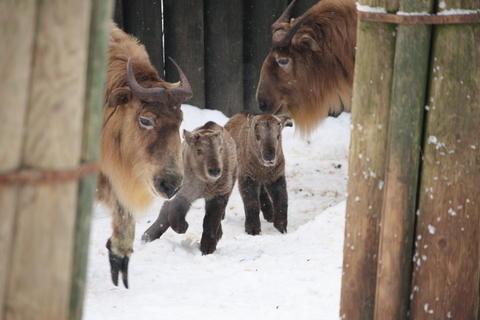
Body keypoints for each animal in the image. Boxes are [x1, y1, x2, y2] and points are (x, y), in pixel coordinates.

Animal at [142, 120, 237, 255]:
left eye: (220, 149)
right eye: (199, 150)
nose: (215, 170)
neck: (203, 182)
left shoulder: (220, 194)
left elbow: (211, 221)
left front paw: (208, 248)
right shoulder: (183, 193)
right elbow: (174, 215)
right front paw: (183, 227)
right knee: (164, 213)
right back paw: (147, 236)